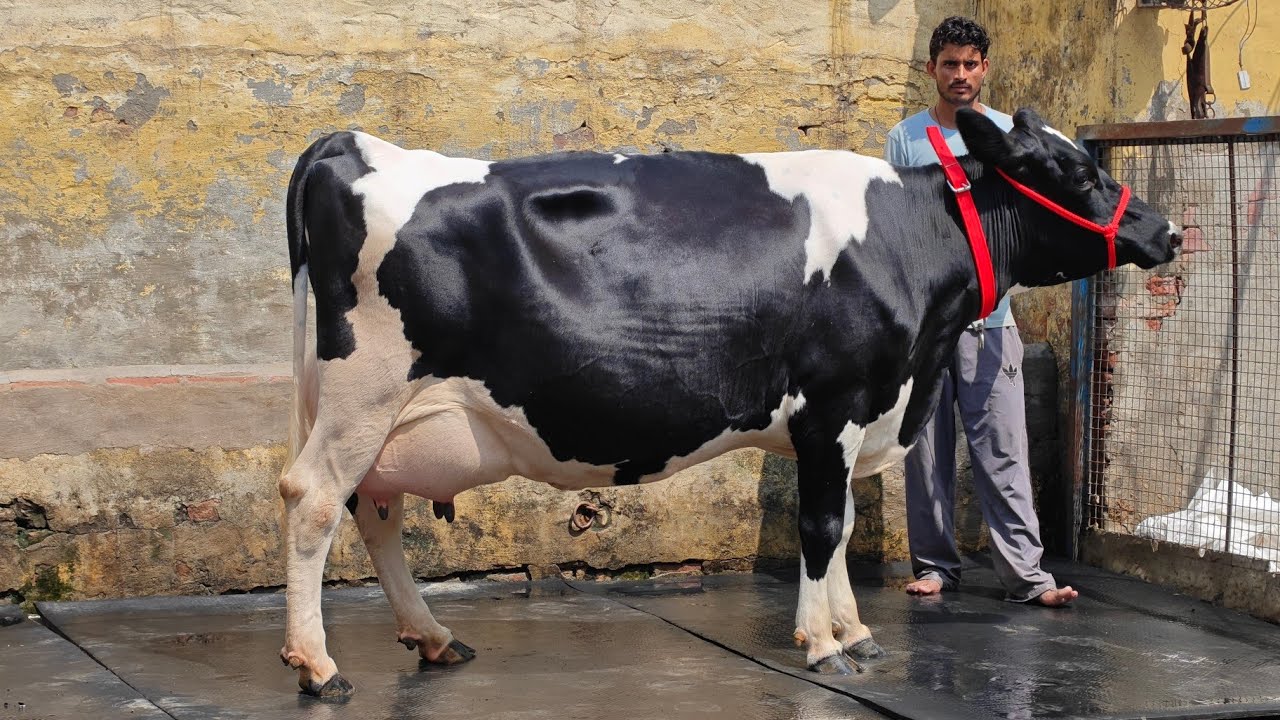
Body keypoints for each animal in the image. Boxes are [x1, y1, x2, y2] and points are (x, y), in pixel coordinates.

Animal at [278, 107, 1181, 696]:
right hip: (367, 391)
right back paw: (318, 665)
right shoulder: (834, 403)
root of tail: (352, 144)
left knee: (374, 511)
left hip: (384, 416)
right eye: (1077, 172)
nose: (1167, 231)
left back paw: (431, 638)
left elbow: (843, 526)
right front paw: (823, 647)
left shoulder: (856, 414)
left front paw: (855, 631)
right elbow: (821, 526)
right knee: (313, 499)